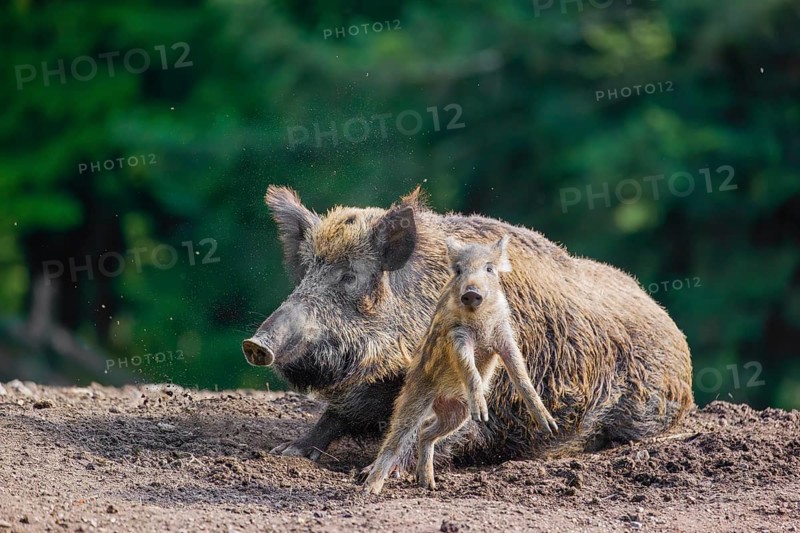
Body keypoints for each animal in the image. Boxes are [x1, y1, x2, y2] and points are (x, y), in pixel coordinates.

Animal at [242, 185, 693, 465]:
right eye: (306, 274)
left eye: (350, 276)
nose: (255, 343)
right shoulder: (369, 385)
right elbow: (334, 415)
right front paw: (285, 453)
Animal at [361, 235, 558, 494]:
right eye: (458, 270)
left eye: (489, 268)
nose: (471, 292)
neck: (480, 322)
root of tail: (440, 398)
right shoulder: (457, 337)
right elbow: (469, 368)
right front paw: (482, 415)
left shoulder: (504, 336)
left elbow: (520, 373)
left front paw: (550, 427)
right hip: (415, 397)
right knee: (395, 439)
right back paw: (369, 489)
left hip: (458, 412)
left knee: (426, 432)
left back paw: (429, 484)